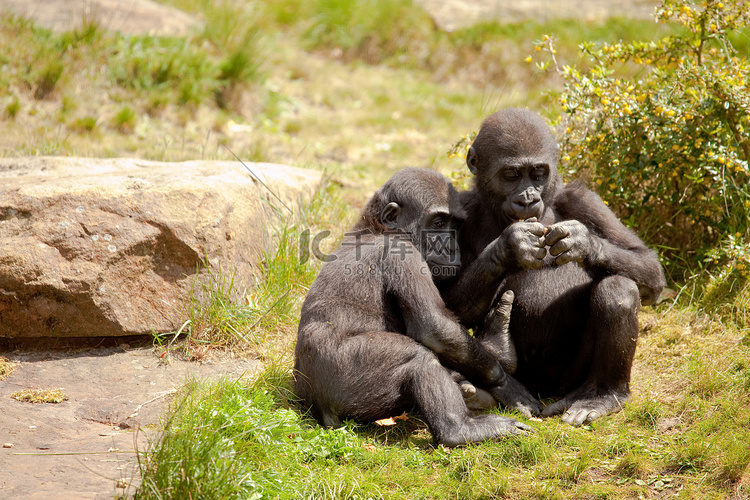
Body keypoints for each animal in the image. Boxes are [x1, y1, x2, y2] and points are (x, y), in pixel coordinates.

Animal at [294, 168, 536, 446]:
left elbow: (452, 309)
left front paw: (508, 249)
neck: (376, 227)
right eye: (438, 223)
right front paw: (506, 383)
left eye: (456, 225)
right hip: (341, 382)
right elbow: (434, 325)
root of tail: (313, 407)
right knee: (417, 357)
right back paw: (460, 429)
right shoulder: (403, 254)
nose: (450, 247)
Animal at [440, 108, 668, 426]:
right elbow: (443, 303)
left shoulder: (584, 199)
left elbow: (648, 266)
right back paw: (492, 384)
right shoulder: (457, 210)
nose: (528, 199)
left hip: (570, 380)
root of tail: (545, 389)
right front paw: (510, 247)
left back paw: (603, 394)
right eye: (511, 175)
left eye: (538, 173)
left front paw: (582, 242)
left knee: (618, 287)